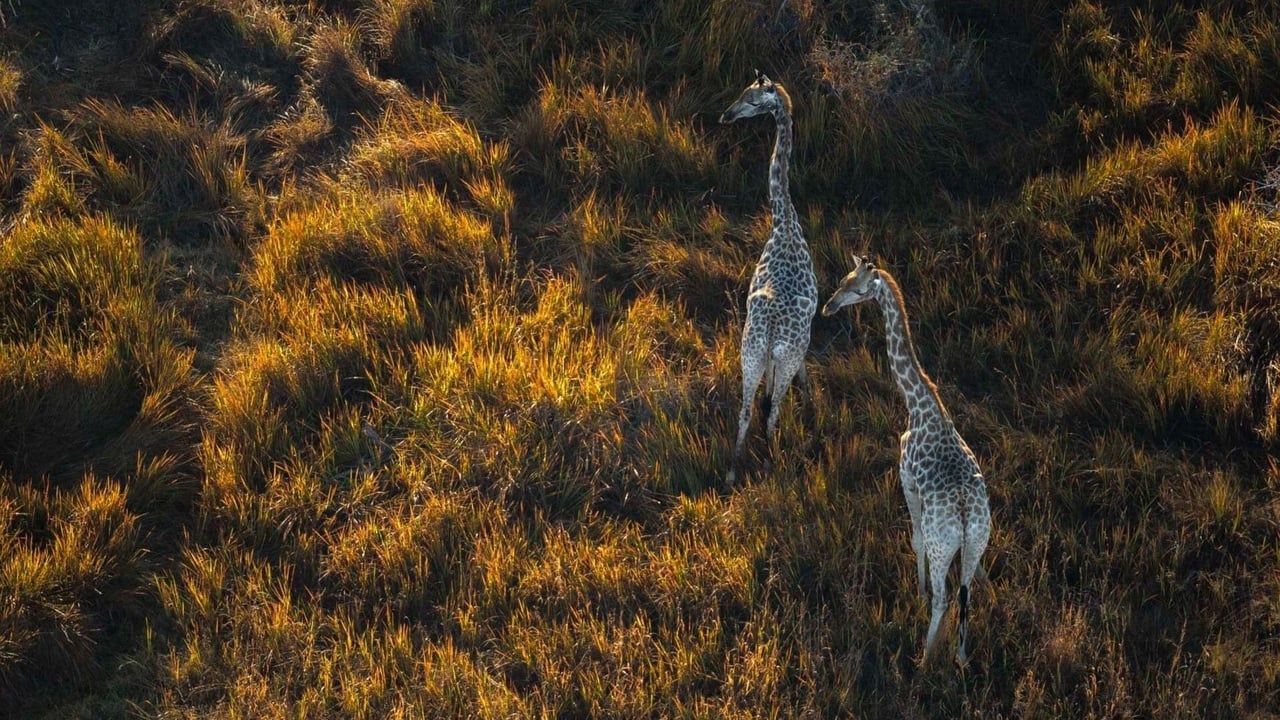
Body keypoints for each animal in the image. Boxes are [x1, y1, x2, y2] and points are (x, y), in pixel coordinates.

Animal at [824, 254, 993, 666]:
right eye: (844, 279)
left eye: (858, 289)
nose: (828, 307)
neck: (920, 406)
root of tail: (964, 519)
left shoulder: (905, 477)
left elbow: (913, 538)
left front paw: (916, 590)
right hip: (977, 539)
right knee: (965, 594)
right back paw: (961, 656)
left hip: (942, 546)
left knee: (944, 598)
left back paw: (925, 658)